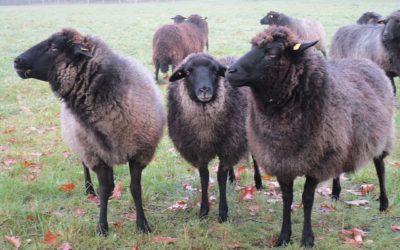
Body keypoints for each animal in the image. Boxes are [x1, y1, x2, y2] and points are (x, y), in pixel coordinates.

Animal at [13, 28, 164, 235]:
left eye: (53, 47)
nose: (17, 61)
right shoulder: (95, 155)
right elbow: (104, 189)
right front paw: (102, 227)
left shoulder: (139, 154)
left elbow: (135, 189)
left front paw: (142, 225)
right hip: (84, 145)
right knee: (85, 167)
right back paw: (89, 189)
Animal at [168, 52, 262, 223]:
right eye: (188, 72)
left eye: (214, 70)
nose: (204, 89)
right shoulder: (200, 150)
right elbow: (204, 177)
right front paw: (203, 211)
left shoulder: (228, 147)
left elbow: (220, 177)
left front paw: (223, 213)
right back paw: (233, 178)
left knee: (254, 157)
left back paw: (258, 182)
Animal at [227, 26, 396, 247]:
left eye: (272, 53)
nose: (230, 71)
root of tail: (368, 63)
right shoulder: (281, 159)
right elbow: (287, 198)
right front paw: (284, 236)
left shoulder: (317, 162)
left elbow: (307, 199)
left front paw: (307, 238)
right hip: (338, 144)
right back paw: (335, 193)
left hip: (381, 137)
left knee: (380, 167)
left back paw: (384, 203)